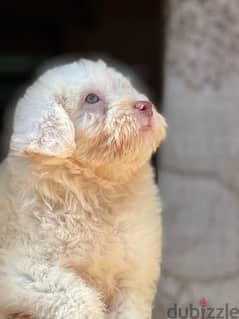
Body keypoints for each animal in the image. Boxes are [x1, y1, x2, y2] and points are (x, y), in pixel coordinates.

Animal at [0, 58, 167, 318]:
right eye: (91, 98)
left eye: (124, 87)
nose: (146, 106)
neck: (95, 190)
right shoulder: (21, 269)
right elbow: (76, 295)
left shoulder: (134, 276)